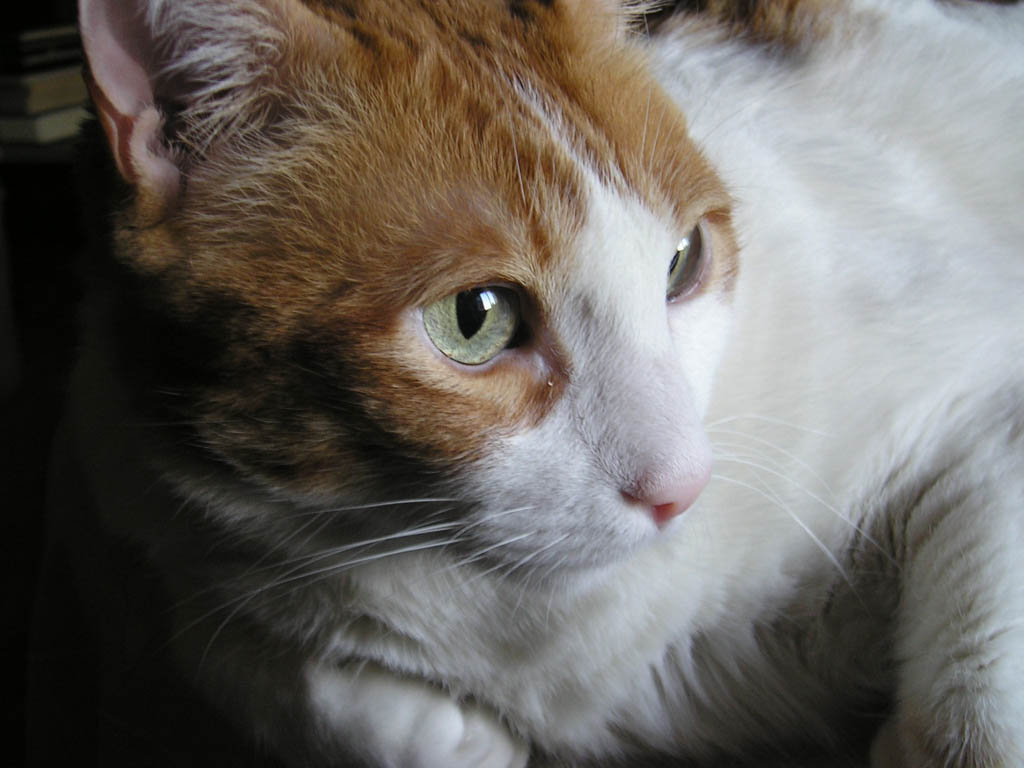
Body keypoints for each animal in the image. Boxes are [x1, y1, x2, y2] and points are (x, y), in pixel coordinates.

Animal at [51, 0, 1019, 765]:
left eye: (682, 262)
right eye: (473, 318)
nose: (684, 487)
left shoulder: (976, 409)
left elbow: (982, 693)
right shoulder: (155, 514)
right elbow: (254, 668)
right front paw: (453, 735)